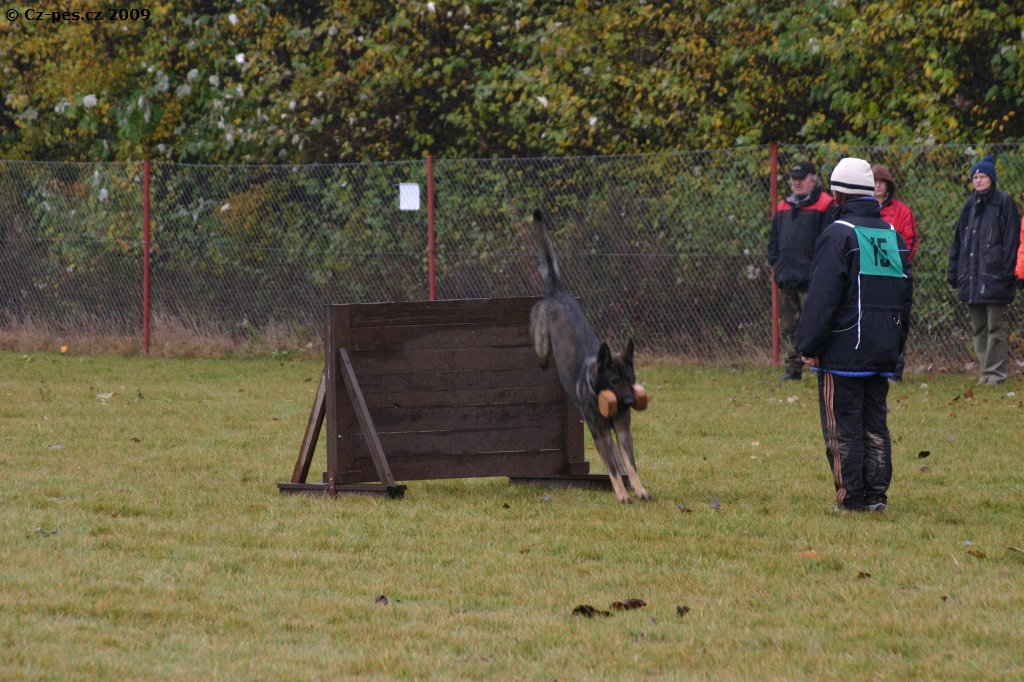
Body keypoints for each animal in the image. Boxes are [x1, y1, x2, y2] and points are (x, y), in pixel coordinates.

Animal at [528, 210, 651, 504]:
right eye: (614, 381)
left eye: (630, 380)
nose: (629, 402)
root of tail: (558, 292)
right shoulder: (601, 435)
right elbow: (614, 469)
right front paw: (622, 495)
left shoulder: (622, 432)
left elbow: (629, 464)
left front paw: (639, 489)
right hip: (542, 344)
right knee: (541, 354)